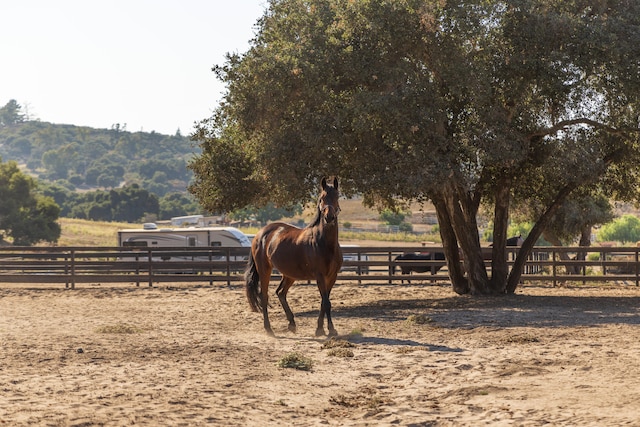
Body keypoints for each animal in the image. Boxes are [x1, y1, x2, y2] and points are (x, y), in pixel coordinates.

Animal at [246, 177, 344, 338]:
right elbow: (326, 302)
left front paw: (320, 329)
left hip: (289, 275)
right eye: (322, 198)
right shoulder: (320, 276)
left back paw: (291, 324)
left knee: (280, 293)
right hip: (265, 270)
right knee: (264, 296)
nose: (329, 217)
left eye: (337, 196)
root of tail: (260, 234)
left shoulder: (332, 277)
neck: (325, 243)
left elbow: (324, 302)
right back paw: (269, 329)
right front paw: (331, 329)